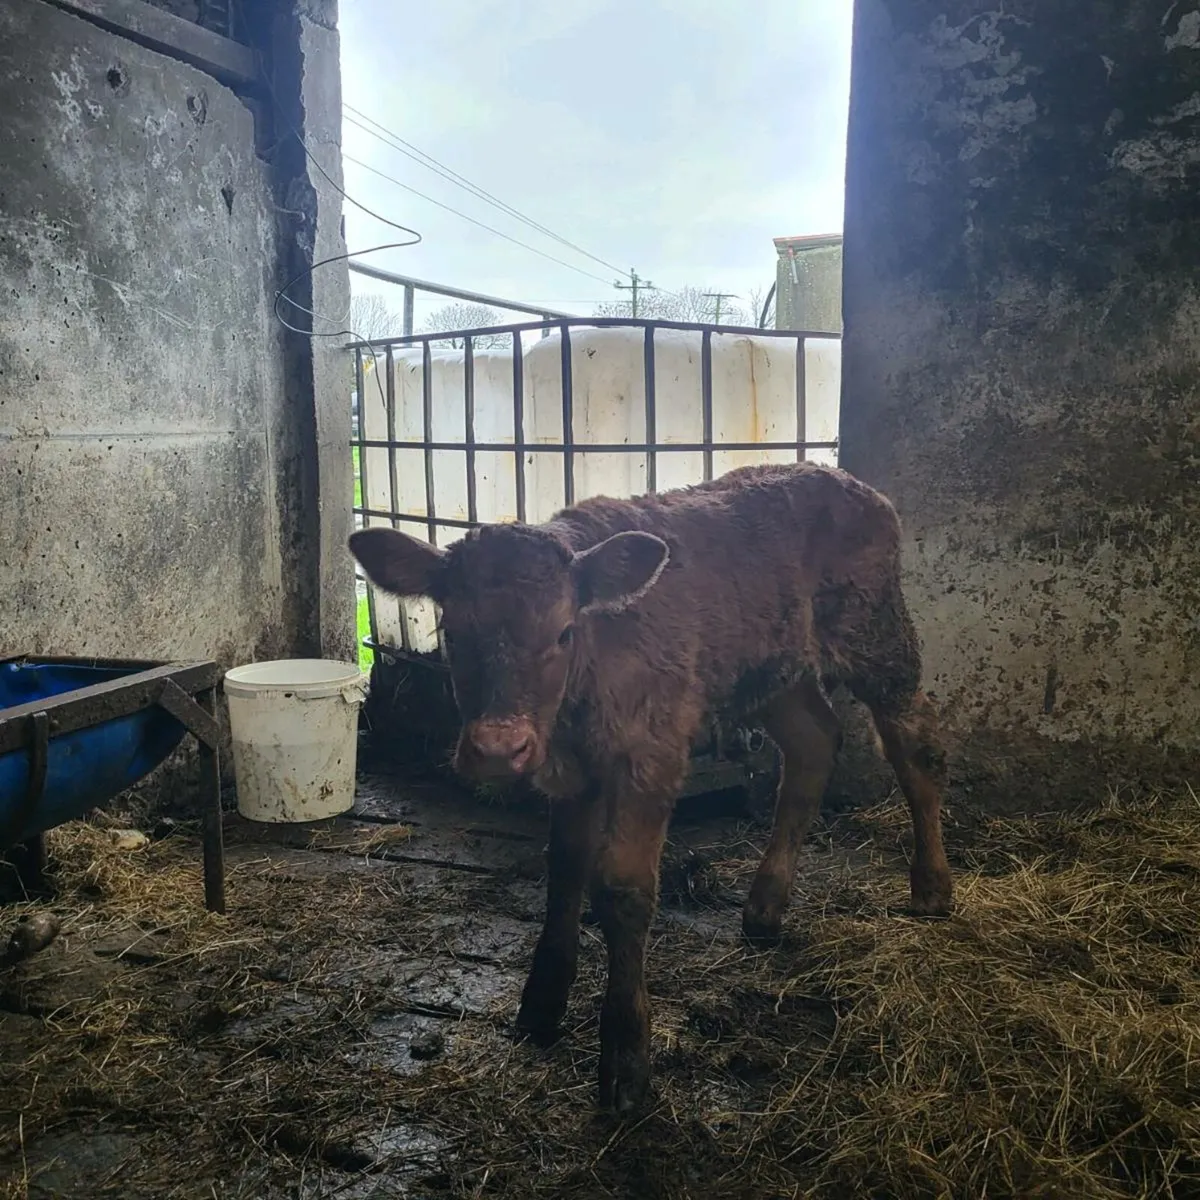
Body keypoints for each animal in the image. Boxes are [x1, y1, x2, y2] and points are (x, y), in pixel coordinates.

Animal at [349, 462, 953, 1115]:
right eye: (454, 631)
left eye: (564, 633)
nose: (498, 748)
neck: (584, 688)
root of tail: (844, 479)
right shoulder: (572, 771)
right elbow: (564, 870)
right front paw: (540, 1006)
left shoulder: (651, 754)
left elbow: (623, 889)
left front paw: (625, 1060)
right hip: (773, 667)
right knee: (813, 743)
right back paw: (765, 906)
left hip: (877, 634)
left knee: (916, 743)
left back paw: (932, 886)